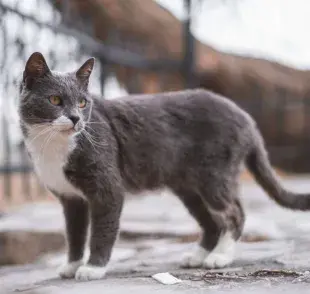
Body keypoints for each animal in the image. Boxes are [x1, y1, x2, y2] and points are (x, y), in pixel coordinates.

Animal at [17, 51, 310, 282]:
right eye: (55, 100)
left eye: (82, 102)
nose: (76, 118)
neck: (53, 146)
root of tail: (246, 117)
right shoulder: (71, 199)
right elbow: (74, 234)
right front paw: (72, 265)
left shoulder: (107, 190)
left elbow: (102, 230)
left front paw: (93, 269)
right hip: (188, 187)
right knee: (211, 221)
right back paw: (198, 255)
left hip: (215, 176)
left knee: (233, 213)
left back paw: (220, 256)